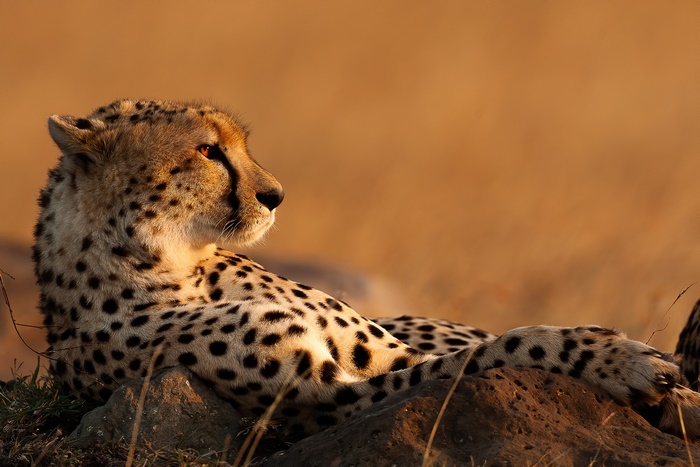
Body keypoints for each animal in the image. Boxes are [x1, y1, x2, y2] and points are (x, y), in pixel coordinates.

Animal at [33, 98, 700, 441]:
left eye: (239, 144)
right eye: (206, 150)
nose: (275, 195)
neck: (173, 265)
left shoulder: (390, 352)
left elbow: (497, 343)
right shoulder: (341, 394)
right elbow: (505, 349)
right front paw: (623, 362)